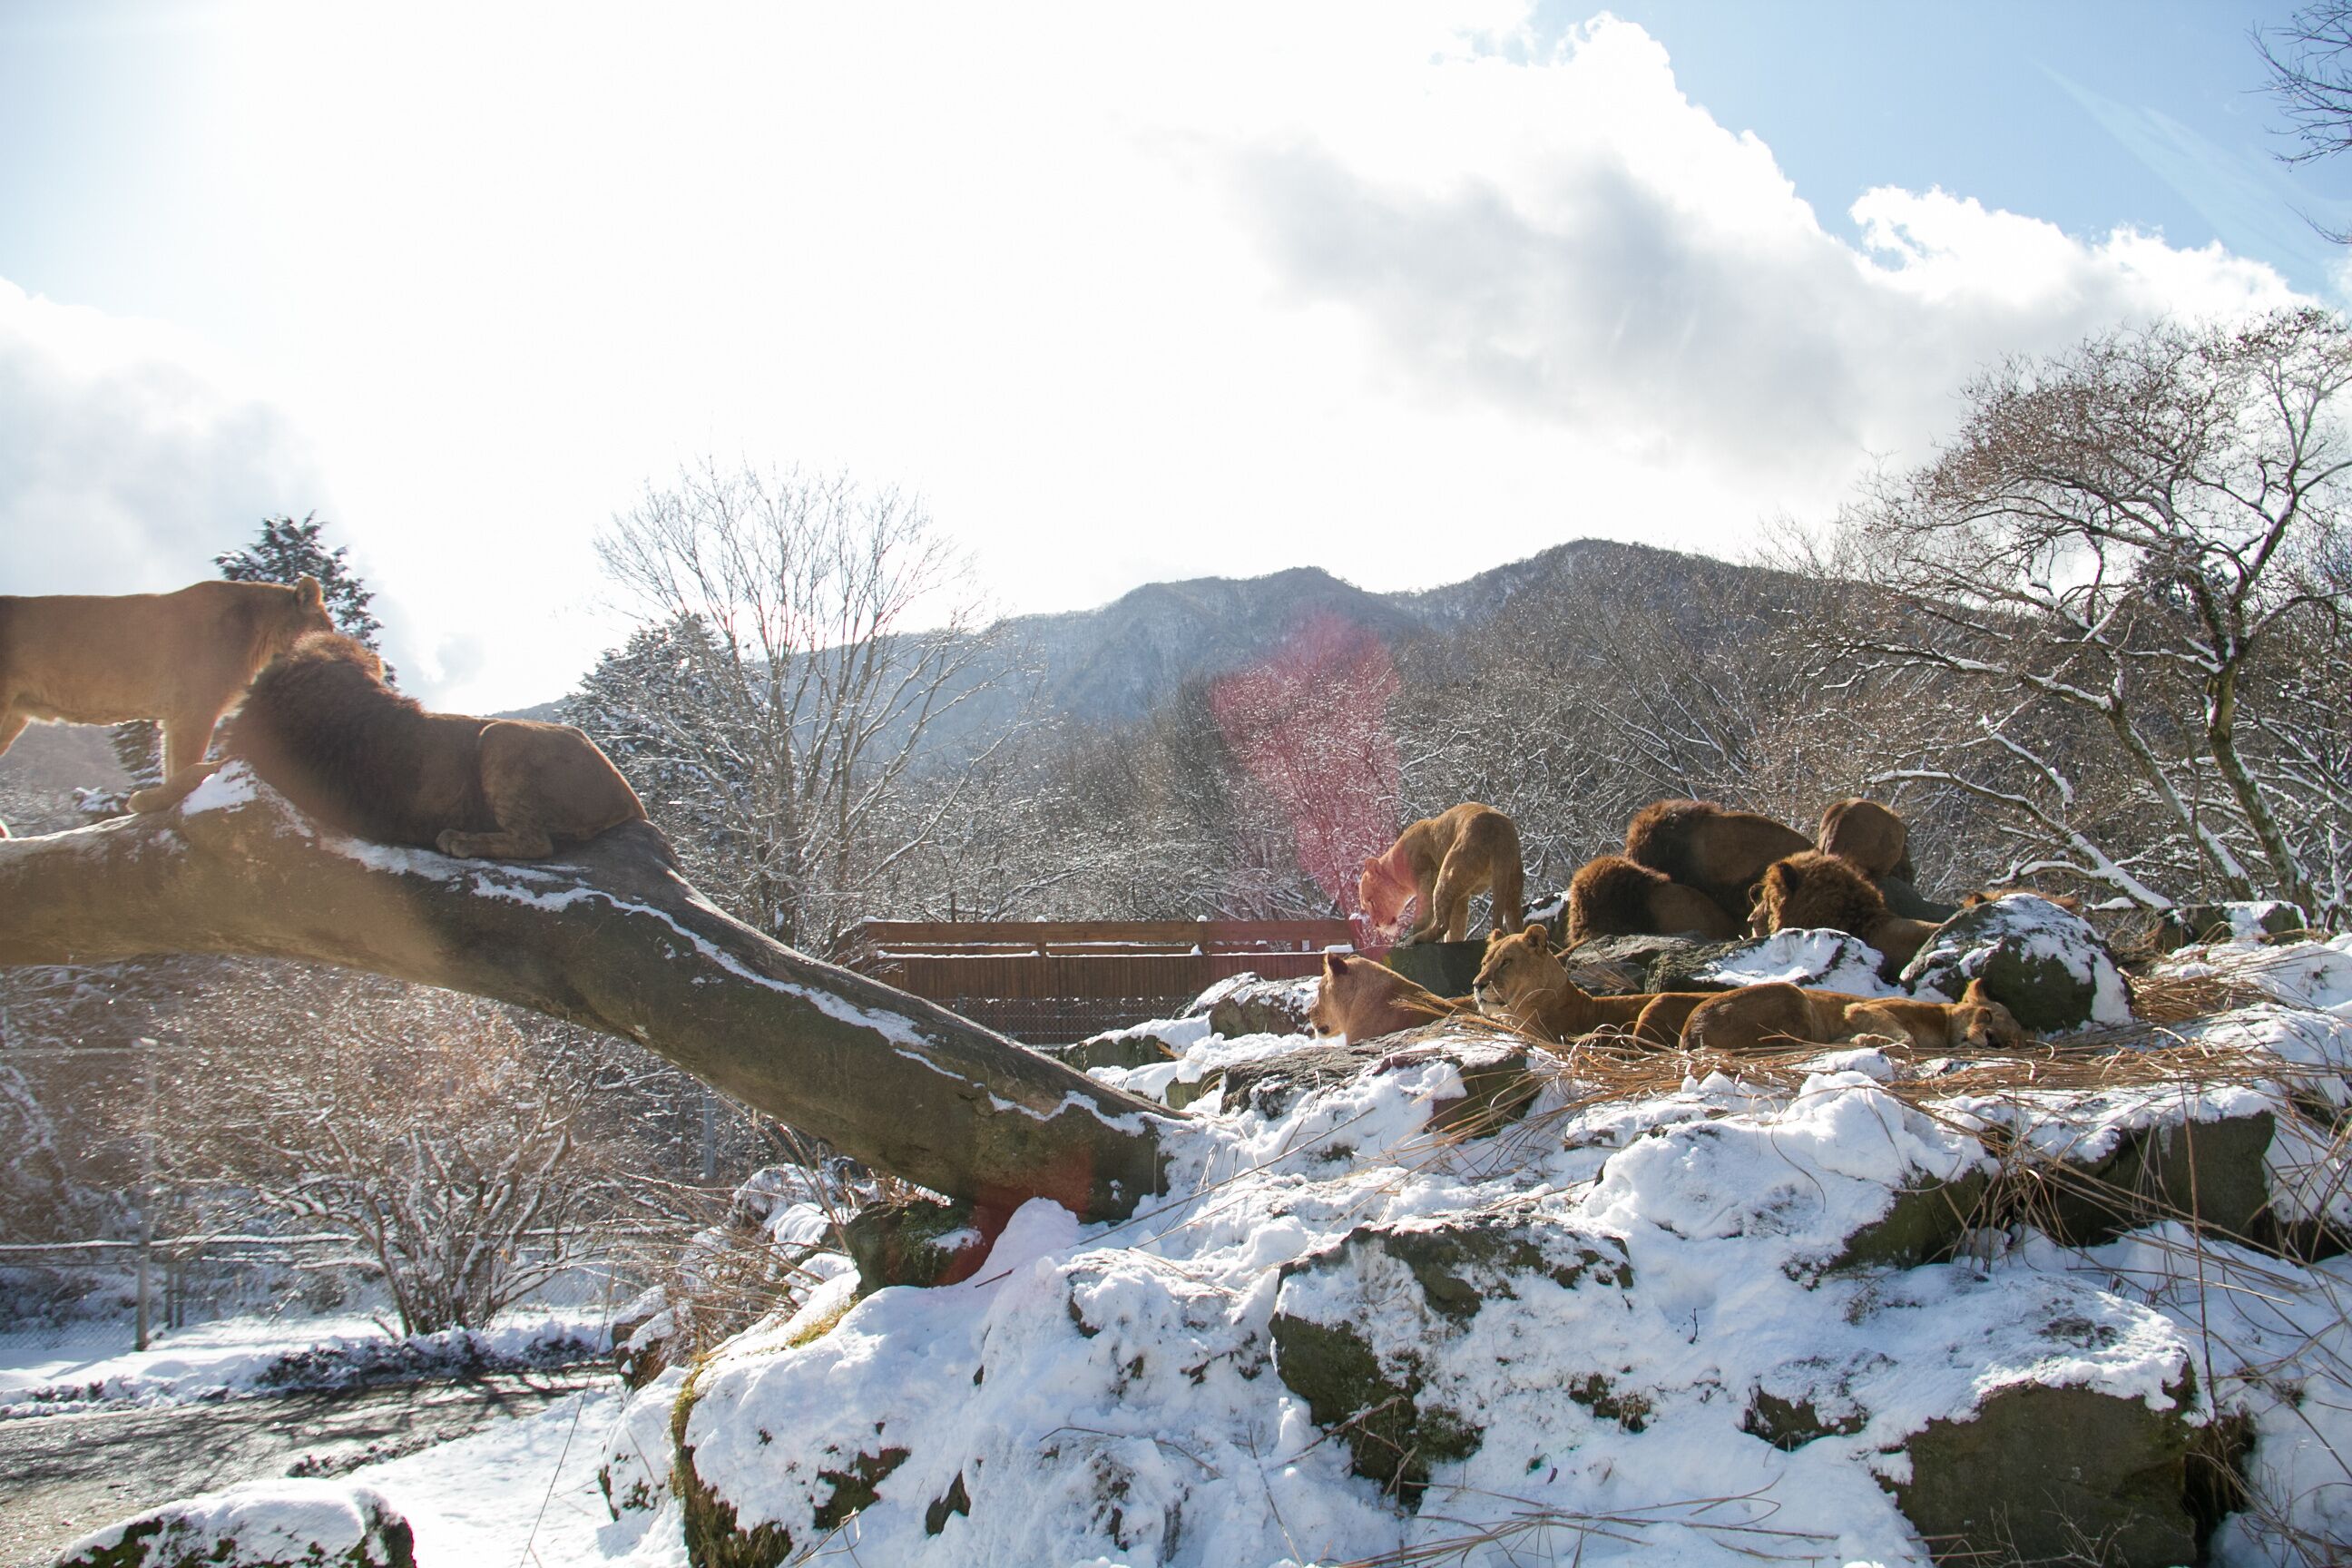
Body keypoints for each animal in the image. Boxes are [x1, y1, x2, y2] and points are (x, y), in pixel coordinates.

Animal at [0, 576, 336, 812]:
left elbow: (174, 766)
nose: (337, 642)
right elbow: (186, 764)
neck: (261, 638)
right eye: (328, 626)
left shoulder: (177, 716)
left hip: (13, 716)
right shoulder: (196, 710)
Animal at [144, 632, 647, 859]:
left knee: (537, 843)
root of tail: (628, 794)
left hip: (501, 738)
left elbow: (198, 771)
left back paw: (458, 840)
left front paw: (143, 796)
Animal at [1358, 802, 1525, 947]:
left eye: (1371, 901)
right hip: (1511, 881)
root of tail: (1498, 833)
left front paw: (1413, 934)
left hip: (1448, 874)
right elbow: (1456, 927)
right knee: (1516, 920)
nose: (1376, 924)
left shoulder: (1425, 878)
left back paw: (1414, 939)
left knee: (1442, 924)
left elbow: (1423, 916)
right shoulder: (1461, 898)